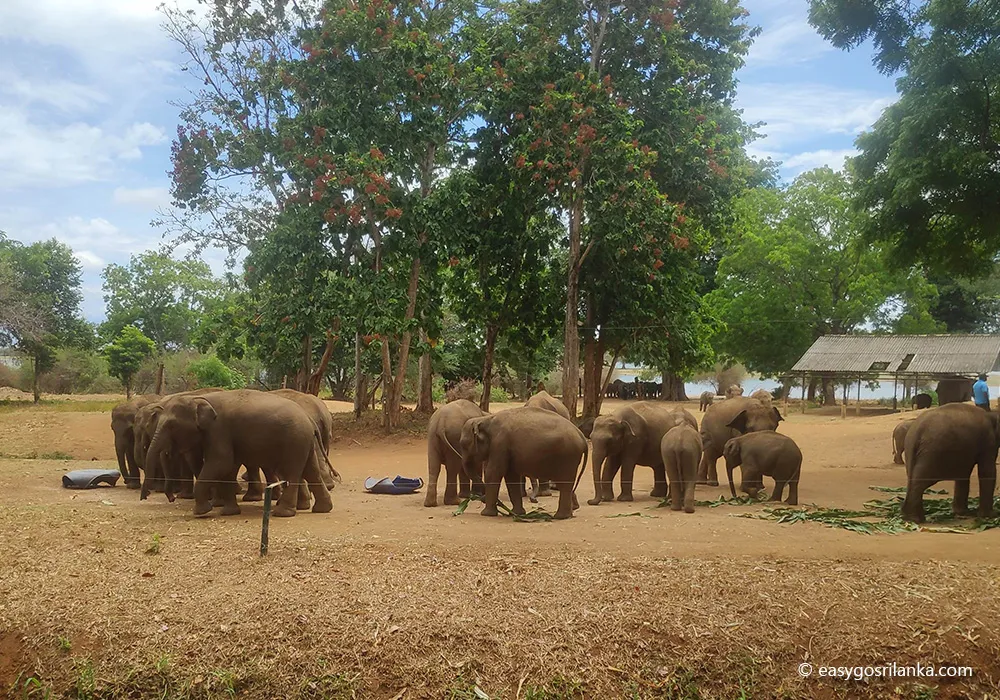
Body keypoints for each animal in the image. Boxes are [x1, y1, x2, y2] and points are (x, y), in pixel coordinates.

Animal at [143, 389, 333, 518]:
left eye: (172, 425)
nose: (172, 498)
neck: (199, 399)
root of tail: (310, 420)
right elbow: (227, 467)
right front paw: (228, 512)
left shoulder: (219, 430)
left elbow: (221, 462)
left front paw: (202, 512)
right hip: (303, 442)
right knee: (311, 471)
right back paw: (322, 509)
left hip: (294, 441)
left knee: (292, 472)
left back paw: (282, 513)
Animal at [460, 407, 588, 520]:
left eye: (464, 444)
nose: (482, 498)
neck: (485, 419)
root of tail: (582, 436)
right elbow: (511, 477)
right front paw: (517, 514)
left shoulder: (499, 443)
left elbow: (493, 473)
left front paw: (486, 514)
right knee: (566, 485)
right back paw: (570, 513)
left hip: (568, 456)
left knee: (565, 484)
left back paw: (560, 517)